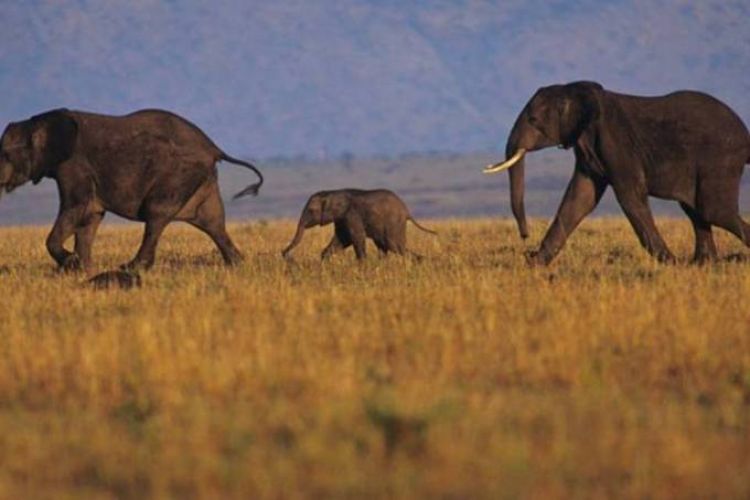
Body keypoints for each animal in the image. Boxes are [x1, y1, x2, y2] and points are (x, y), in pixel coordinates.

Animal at [0, 108, 264, 271]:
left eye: (6, 154)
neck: (37, 122)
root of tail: (214, 147)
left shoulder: (73, 166)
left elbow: (75, 207)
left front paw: (72, 264)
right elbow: (90, 216)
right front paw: (81, 269)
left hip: (178, 174)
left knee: (157, 214)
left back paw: (131, 267)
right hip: (201, 180)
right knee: (213, 222)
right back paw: (237, 264)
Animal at [281, 189, 436, 260]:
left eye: (311, 211)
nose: (285, 255)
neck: (333, 193)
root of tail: (407, 211)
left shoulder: (351, 216)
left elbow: (356, 238)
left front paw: (362, 263)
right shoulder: (342, 219)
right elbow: (341, 240)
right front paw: (324, 259)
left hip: (394, 222)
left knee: (394, 245)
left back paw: (419, 260)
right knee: (384, 245)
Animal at [484, 81, 750, 265]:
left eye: (533, 119)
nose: (525, 237)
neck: (574, 90)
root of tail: (745, 133)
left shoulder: (617, 143)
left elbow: (629, 196)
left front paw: (671, 263)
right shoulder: (587, 147)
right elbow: (579, 200)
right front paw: (535, 264)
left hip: (720, 159)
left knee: (714, 210)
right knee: (696, 210)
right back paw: (703, 264)